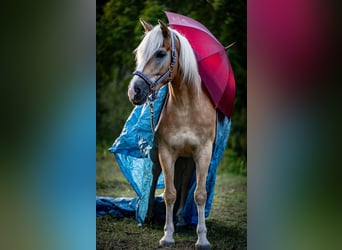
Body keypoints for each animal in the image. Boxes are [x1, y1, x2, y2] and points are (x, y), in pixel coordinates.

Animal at [127, 18, 215, 249]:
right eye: (139, 53)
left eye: (160, 53)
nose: (134, 91)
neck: (187, 107)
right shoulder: (166, 153)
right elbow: (169, 194)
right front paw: (167, 235)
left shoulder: (203, 154)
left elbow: (199, 194)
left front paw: (202, 238)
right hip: (159, 157)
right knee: (154, 180)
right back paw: (149, 215)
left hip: (188, 160)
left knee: (184, 184)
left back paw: (182, 218)